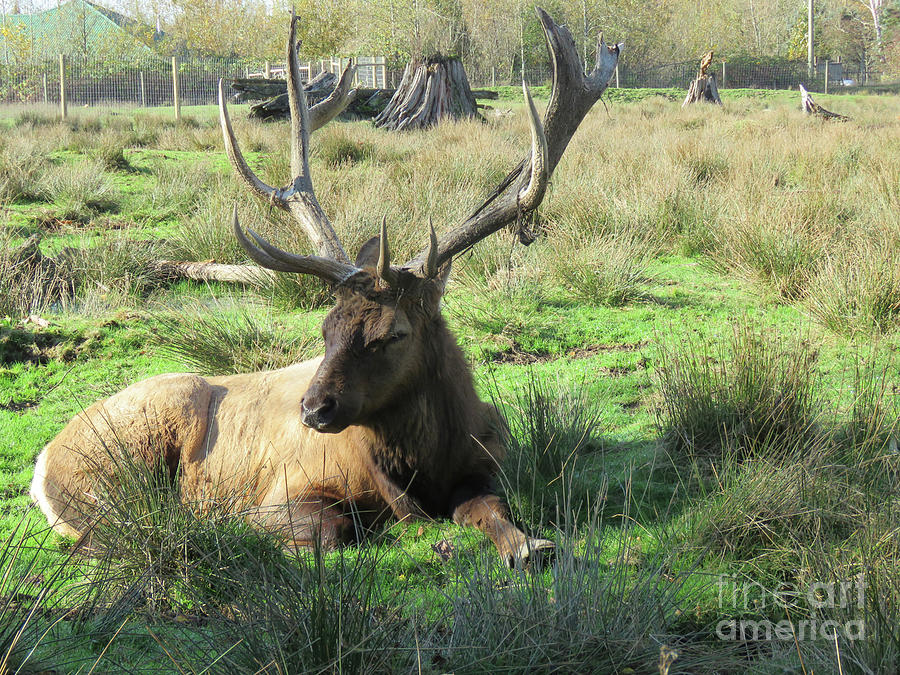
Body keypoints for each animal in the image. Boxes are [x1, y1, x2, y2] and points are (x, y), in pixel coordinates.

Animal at [28, 11, 620, 572]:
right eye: (326, 328)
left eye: (394, 333)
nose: (314, 410)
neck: (421, 472)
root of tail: (42, 461)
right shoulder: (287, 490)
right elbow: (334, 527)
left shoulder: (486, 464)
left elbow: (493, 510)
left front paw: (530, 545)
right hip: (119, 464)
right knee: (112, 532)